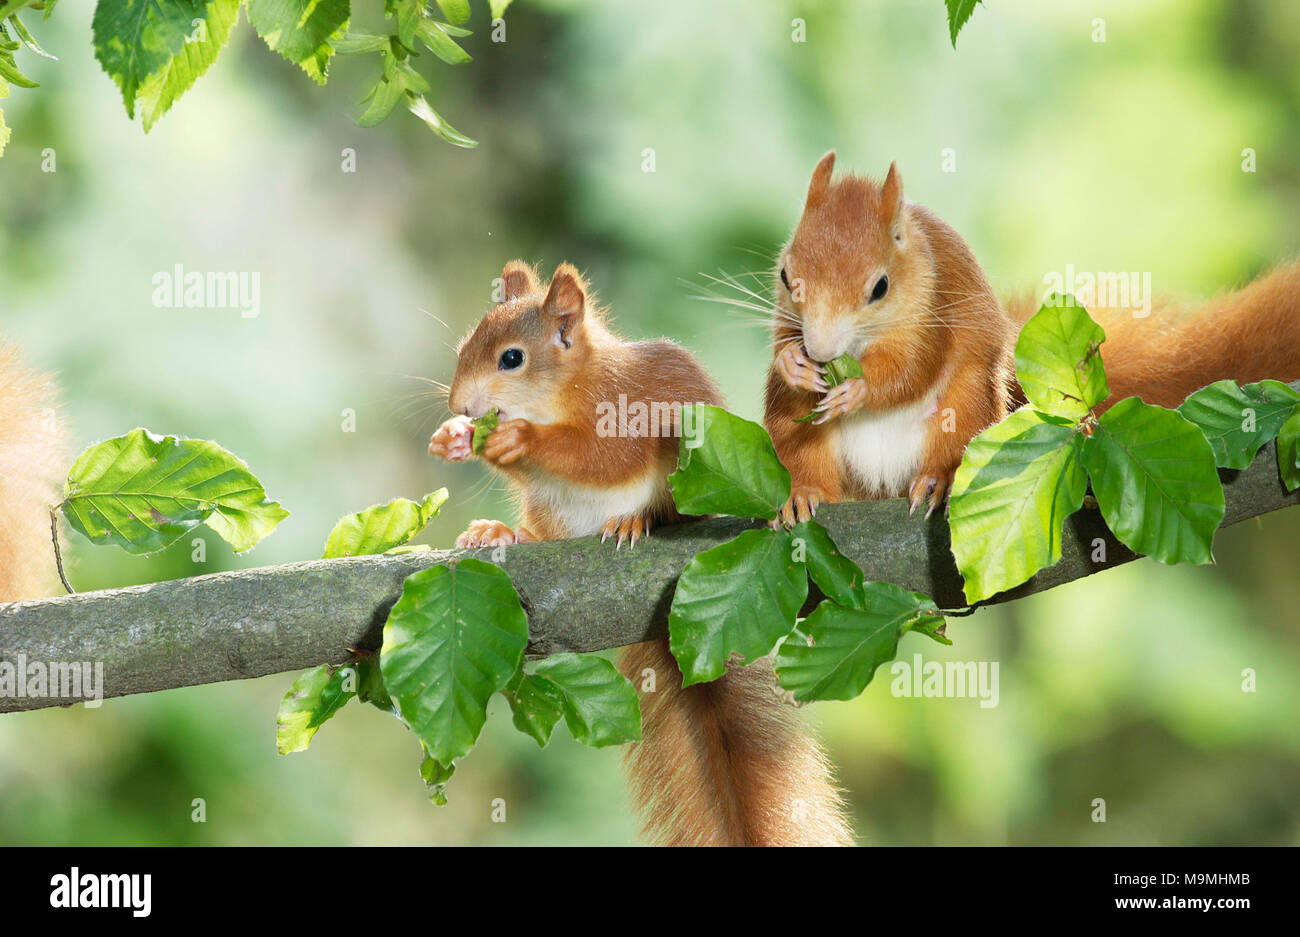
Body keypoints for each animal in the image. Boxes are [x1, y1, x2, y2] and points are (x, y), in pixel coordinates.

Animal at [426, 261, 852, 847]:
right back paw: (505, 533)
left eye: (511, 358)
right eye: (465, 345)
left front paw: (515, 439)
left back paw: (638, 520)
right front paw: (455, 440)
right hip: (550, 509)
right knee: (543, 531)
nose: (459, 407)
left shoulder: (624, 411)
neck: (568, 391)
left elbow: (599, 455)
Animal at [759, 150, 1300, 522]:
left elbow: (914, 369)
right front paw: (792, 363)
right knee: (804, 453)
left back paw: (937, 480)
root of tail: (879, 483)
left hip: (968, 403)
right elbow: (782, 341)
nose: (820, 350)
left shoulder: (937, 310)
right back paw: (803, 494)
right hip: (794, 428)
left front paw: (860, 389)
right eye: (785, 274)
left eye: (880, 287)